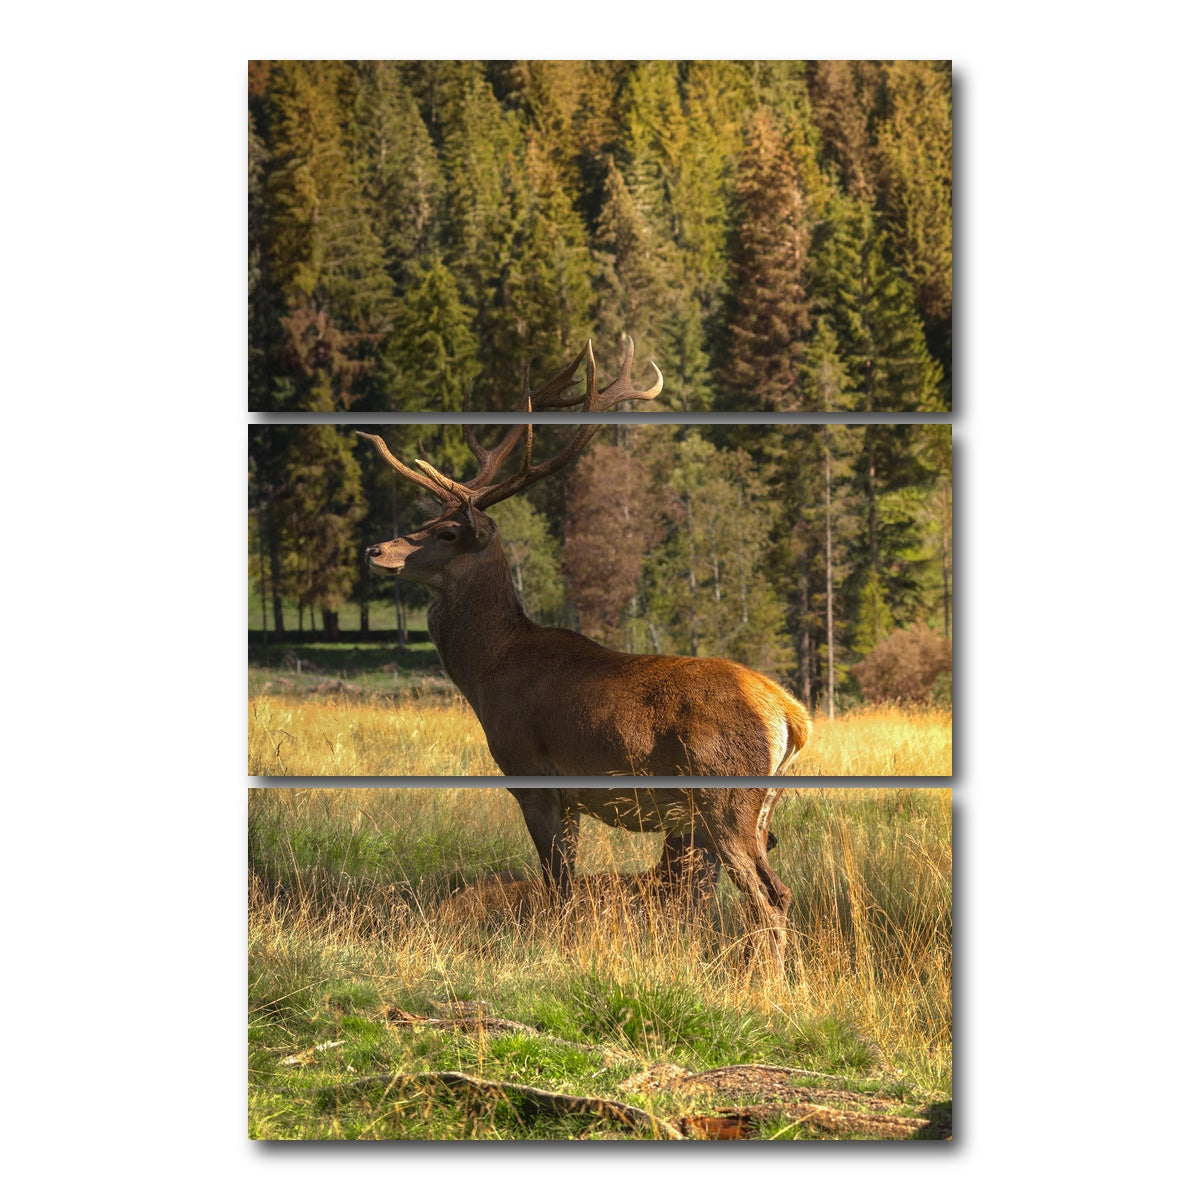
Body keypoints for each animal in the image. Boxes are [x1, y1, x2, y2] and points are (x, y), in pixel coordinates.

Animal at [358, 338, 812, 971]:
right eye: (427, 519)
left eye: (447, 532)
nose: (375, 549)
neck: (488, 672)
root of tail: (790, 715)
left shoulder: (532, 775)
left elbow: (560, 887)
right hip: (762, 803)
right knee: (775, 891)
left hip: (723, 793)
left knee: (769, 897)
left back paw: (768, 983)